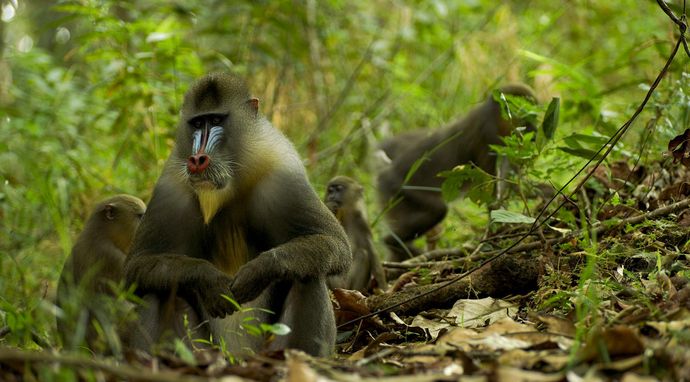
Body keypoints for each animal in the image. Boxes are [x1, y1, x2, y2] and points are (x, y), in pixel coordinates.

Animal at [123, 73, 350, 356]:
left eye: (216, 121)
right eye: (197, 123)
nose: (197, 159)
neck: (230, 186)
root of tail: (237, 358)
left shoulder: (284, 174)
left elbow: (333, 242)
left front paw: (259, 270)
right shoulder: (170, 187)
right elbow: (137, 265)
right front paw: (208, 279)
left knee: (309, 272)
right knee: (159, 289)